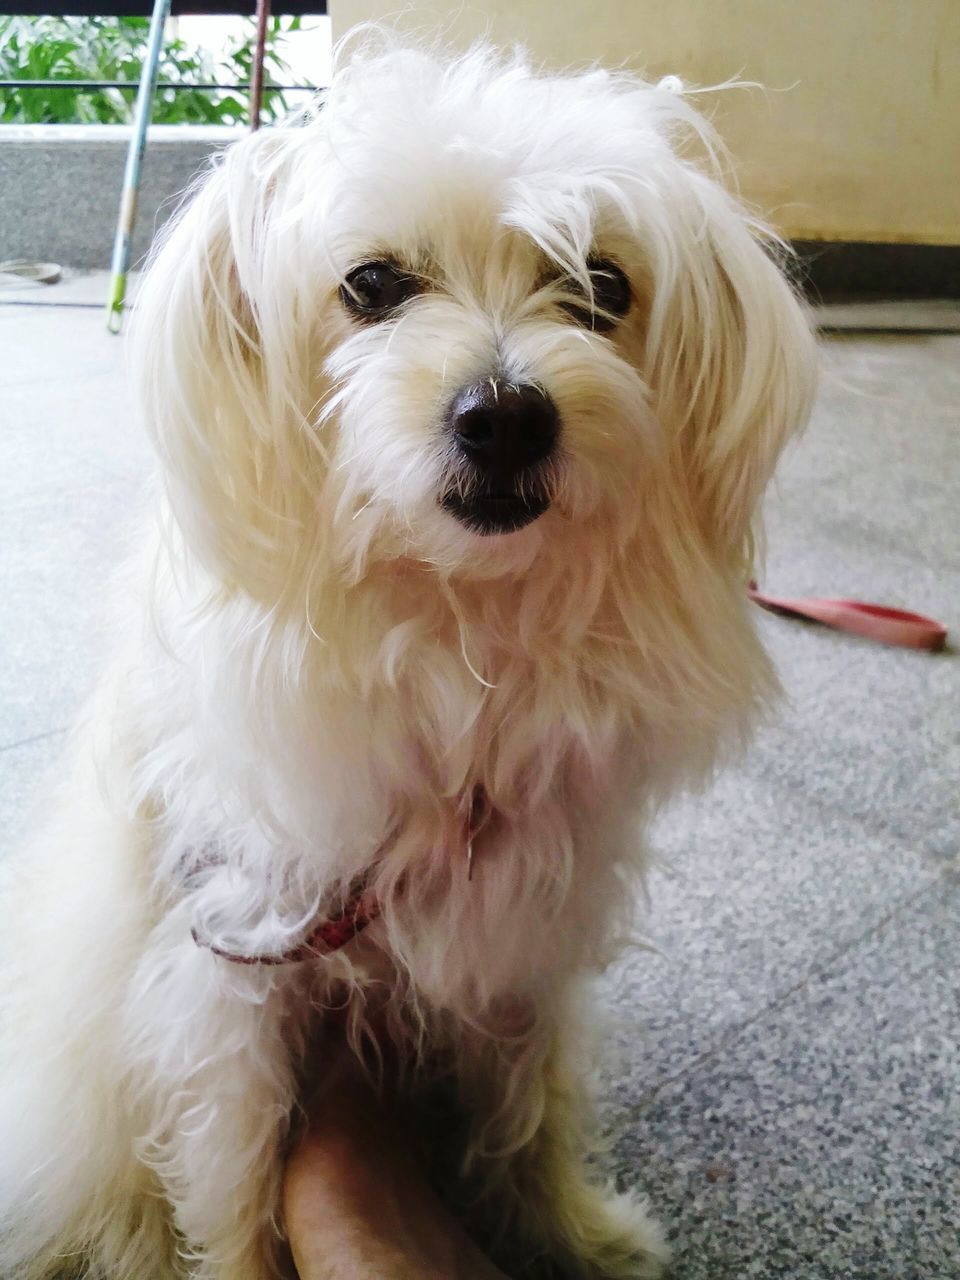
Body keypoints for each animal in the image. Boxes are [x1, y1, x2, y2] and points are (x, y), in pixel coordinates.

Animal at [0, 35, 819, 1280]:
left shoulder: (525, 928)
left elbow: (532, 1105)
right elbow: (236, 1176)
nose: (507, 417)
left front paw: (572, 1231)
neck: (453, 627)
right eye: (375, 285)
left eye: (603, 286)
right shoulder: (233, 962)